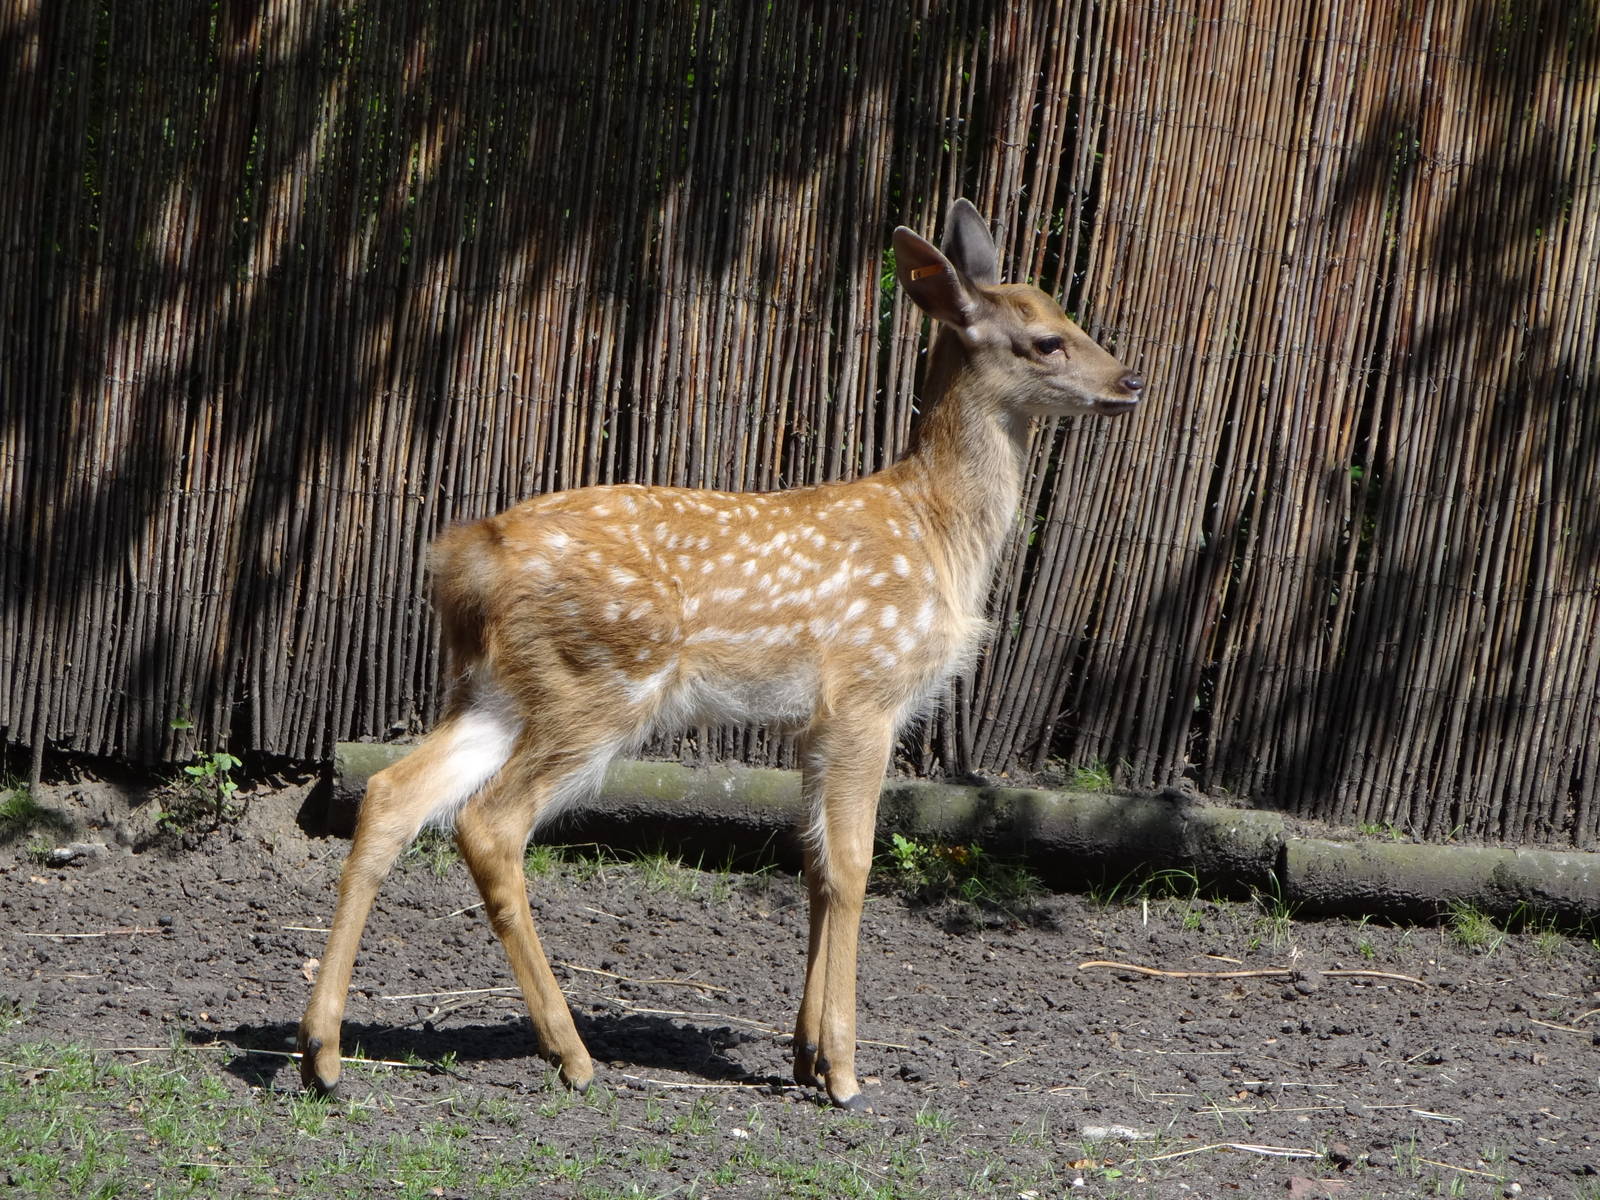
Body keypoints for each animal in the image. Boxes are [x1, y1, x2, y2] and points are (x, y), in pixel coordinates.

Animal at [297, 199, 1144, 1110]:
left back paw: (323, 1053)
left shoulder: (813, 722)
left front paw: (805, 1054)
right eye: (1047, 340)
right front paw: (846, 1073)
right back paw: (571, 1053)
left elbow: (812, 862)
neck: (937, 531)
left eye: (1070, 316)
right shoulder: (866, 692)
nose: (1130, 382)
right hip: (598, 684)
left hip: (497, 690)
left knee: (391, 794)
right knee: (489, 823)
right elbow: (854, 865)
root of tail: (462, 560)